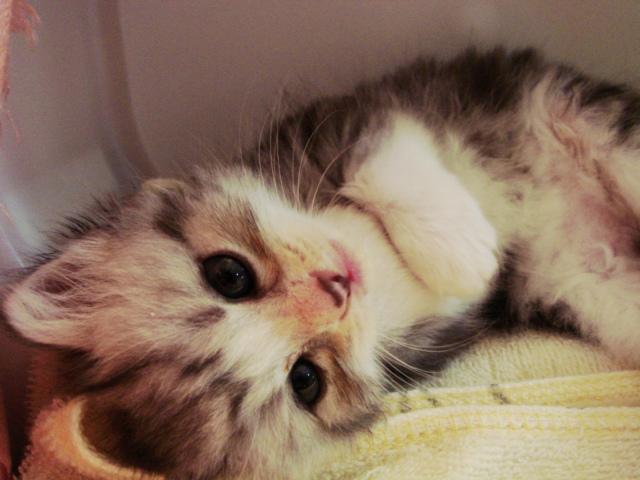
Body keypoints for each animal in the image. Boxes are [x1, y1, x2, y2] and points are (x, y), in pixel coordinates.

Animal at [3, 47, 640, 479]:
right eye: (305, 380)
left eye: (228, 275)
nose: (337, 287)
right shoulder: (438, 328)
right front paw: (470, 258)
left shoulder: (355, 116)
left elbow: (377, 160)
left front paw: (460, 245)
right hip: (590, 287)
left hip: (595, 124)